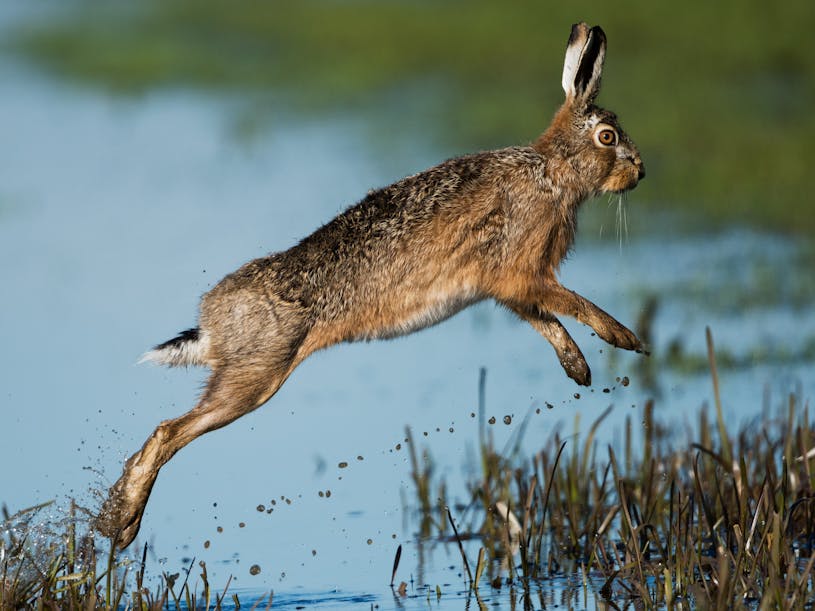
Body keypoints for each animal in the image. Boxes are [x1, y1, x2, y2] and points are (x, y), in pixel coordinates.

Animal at [96, 22, 645, 549]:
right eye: (607, 137)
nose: (641, 171)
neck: (554, 172)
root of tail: (210, 319)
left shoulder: (509, 288)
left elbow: (546, 320)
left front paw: (579, 370)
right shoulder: (521, 270)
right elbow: (571, 302)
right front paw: (625, 338)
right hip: (256, 375)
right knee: (167, 432)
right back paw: (120, 525)